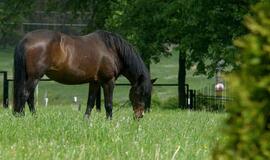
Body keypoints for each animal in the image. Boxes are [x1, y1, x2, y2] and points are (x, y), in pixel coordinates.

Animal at [13, 29, 155, 119]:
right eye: (140, 93)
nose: (139, 116)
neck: (112, 49)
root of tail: (26, 39)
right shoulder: (108, 81)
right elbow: (108, 104)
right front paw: (109, 122)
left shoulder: (95, 82)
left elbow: (90, 103)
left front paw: (86, 120)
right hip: (35, 77)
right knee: (25, 94)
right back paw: (21, 117)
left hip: (31, 77)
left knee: (30, 97)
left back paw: (33, 117)